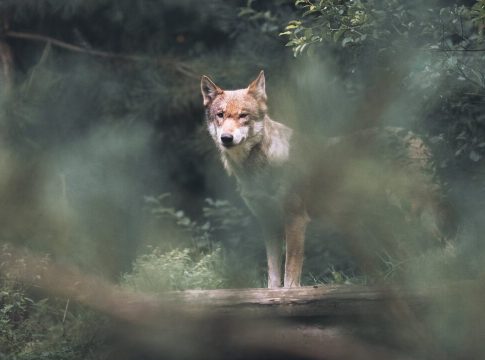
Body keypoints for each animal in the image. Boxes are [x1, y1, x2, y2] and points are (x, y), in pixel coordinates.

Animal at [199, 71, 452, 288]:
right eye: (220, 115)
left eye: (243, 115)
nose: (226, 138)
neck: (256, 169)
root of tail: (418, 138)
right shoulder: (268, 223)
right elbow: (273, 276)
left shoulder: (296, 219)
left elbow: (290, 275)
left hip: (411, 214)